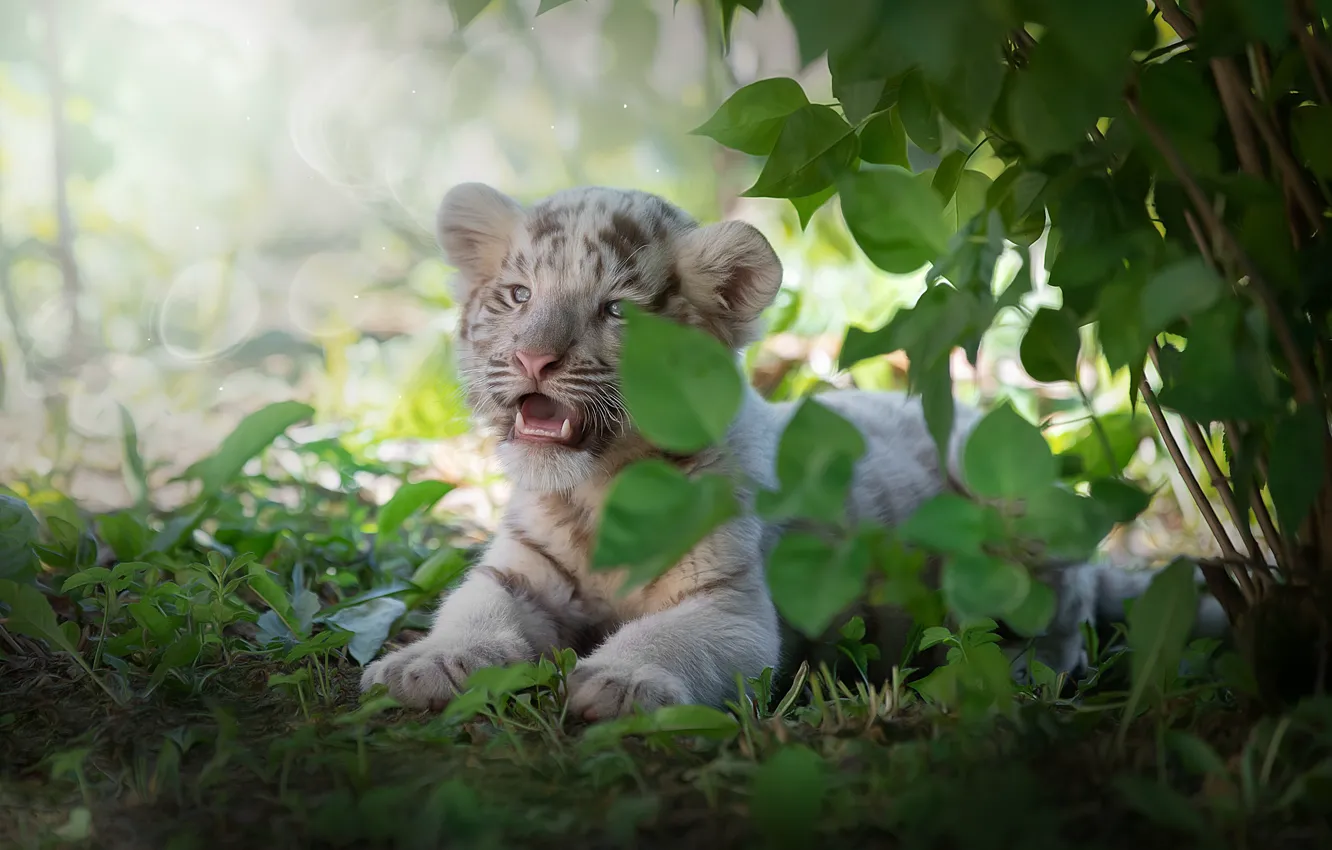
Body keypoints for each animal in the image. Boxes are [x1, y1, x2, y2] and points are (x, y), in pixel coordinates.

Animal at [359, 183, 1227, 717]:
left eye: (616, 311)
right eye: (518, 296)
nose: (534, 359)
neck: (595, 492)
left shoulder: (732, 609)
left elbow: (671, 637)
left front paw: (622, 682)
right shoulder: (518, 571)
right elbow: (472, 607)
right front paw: (423, 665)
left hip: (1026, 518)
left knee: (1062, 628)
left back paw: (1004, 671)